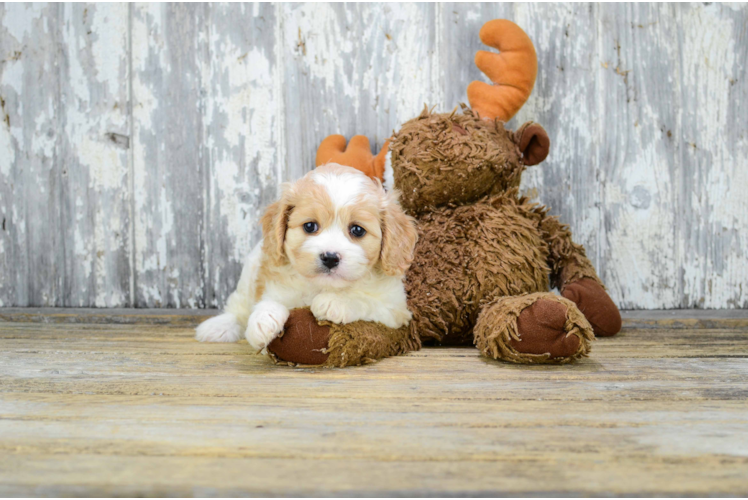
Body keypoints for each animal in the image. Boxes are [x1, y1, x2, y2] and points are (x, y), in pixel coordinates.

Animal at [196, 162, 418, 350]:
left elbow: (366, 301)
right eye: (310, 226)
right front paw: (263, 320)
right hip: (250, 270)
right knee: (239, 306)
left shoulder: (396, 310)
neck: (321, 286)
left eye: (357, 230)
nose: (330, 257)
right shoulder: (274, 285)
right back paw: (219, 326)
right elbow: (269, 301)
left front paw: (336, 302)